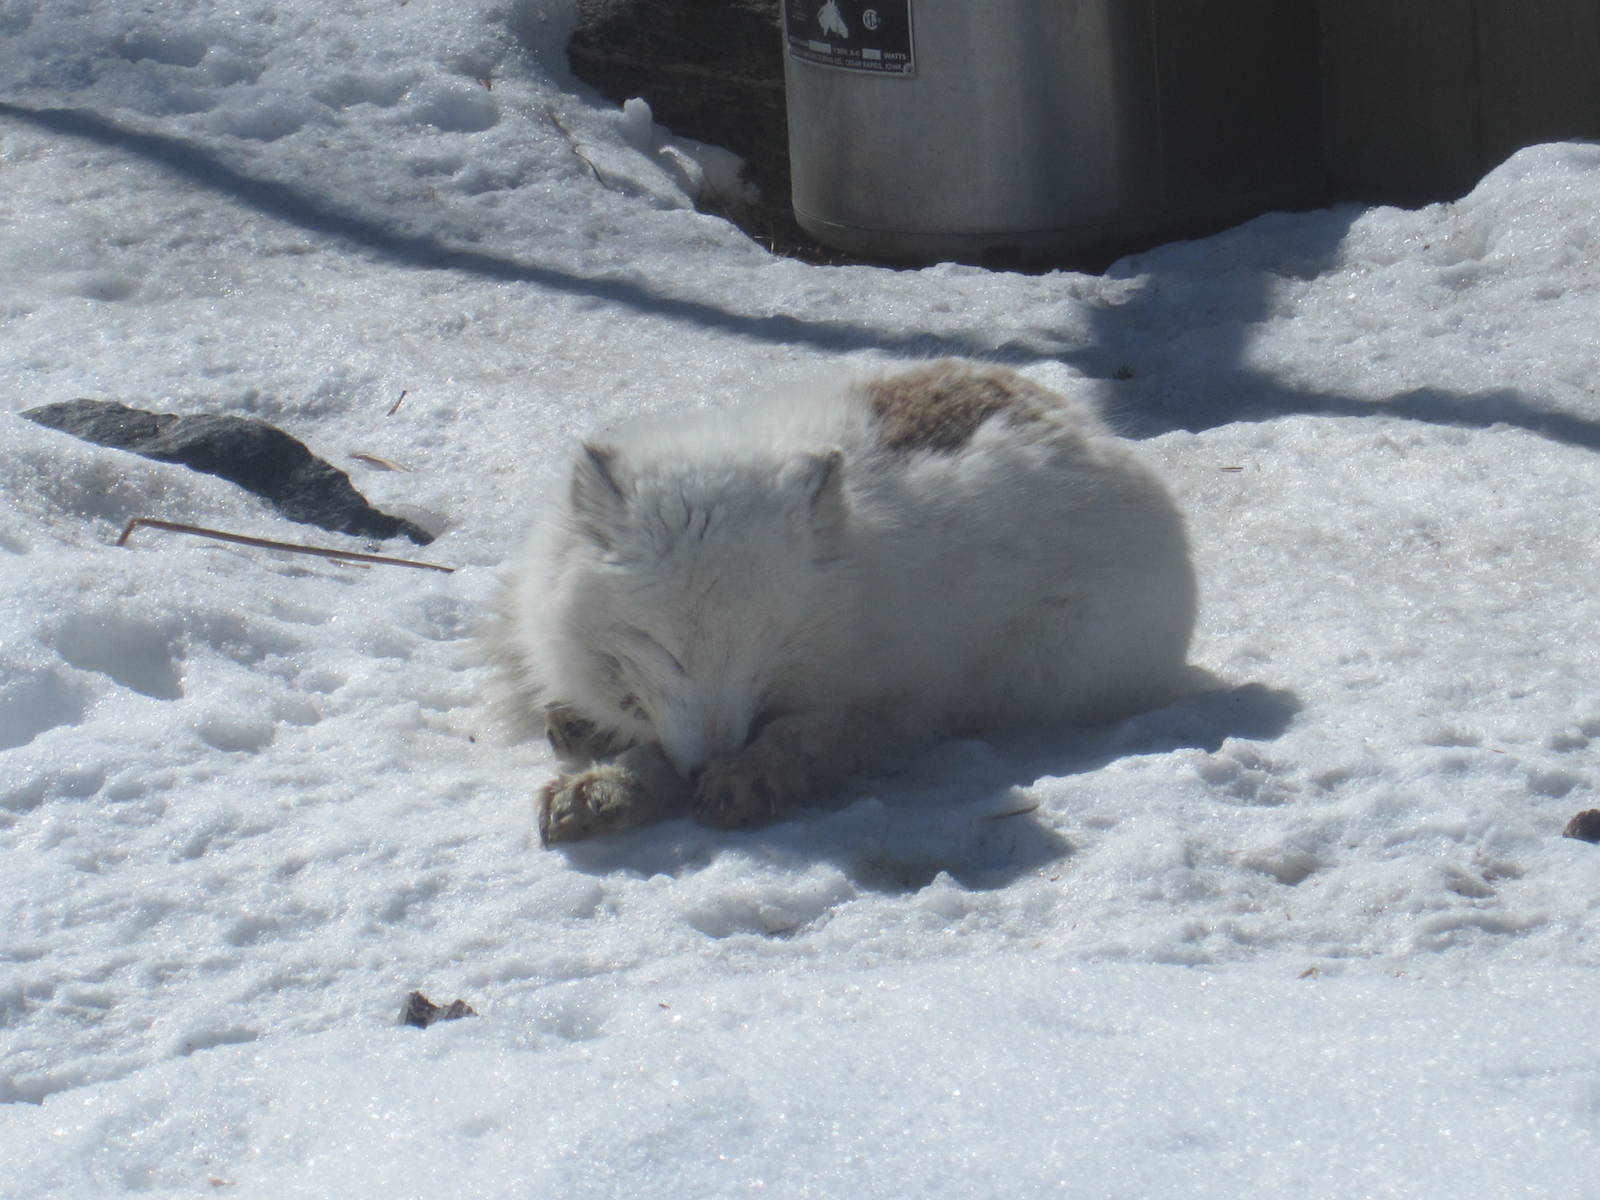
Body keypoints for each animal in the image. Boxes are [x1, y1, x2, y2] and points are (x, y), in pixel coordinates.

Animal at [486, 360, 1197, 845]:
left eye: (764, 648)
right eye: (662, 647)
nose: (708, 762)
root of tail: (1091, 428)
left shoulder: (897, 706)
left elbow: (800, 738)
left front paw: (737, 780)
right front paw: (605, 786)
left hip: (1045, 672)